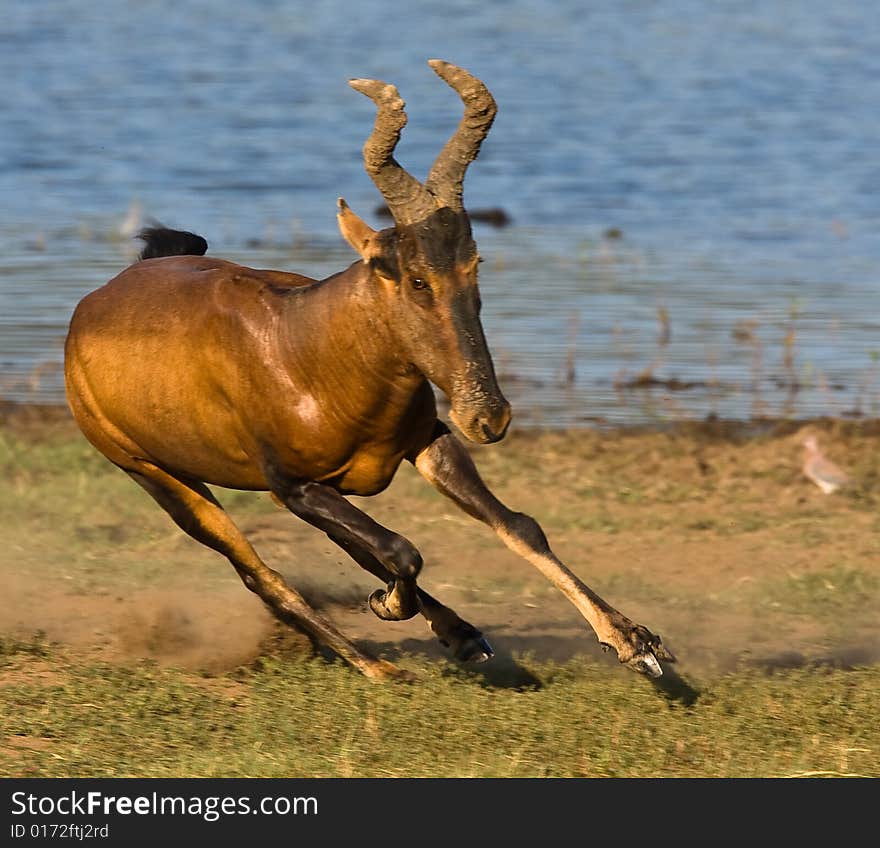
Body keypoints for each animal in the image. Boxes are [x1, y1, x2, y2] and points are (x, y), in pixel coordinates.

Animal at [65, 59, 676, 680]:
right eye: (414, 277)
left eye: (474, 262)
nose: (488, 416)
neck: (301, 341)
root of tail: (101, 297)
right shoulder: (294, 486)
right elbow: (401, 549)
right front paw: (388, 608)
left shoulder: (427, 442)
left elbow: (515, 526)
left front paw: (636, 643)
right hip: (155, 475)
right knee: (262, 575)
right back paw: (379, 665)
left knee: (352, 549)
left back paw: (458, 634)